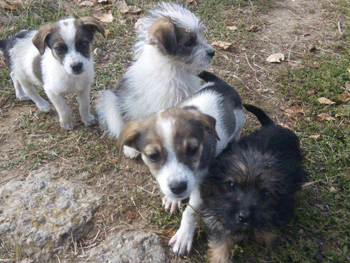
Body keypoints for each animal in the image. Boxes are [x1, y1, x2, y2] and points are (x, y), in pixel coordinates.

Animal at [116, 71, 245, 256]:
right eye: (153, 156)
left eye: (192, 149)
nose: (178, 188)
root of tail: (220, 83)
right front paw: (172, 199)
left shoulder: (201, 182)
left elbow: (190, 212)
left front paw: (183, 236)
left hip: (239, 119)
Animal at [200, 104, 306, 263]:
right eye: (231, 185)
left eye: (266, 193)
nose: (243, 217)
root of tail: (272, 125)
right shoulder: (216, 211)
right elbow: (221, 238)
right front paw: (219, 257)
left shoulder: (283, 203)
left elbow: (270, 223)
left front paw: (265, 236)